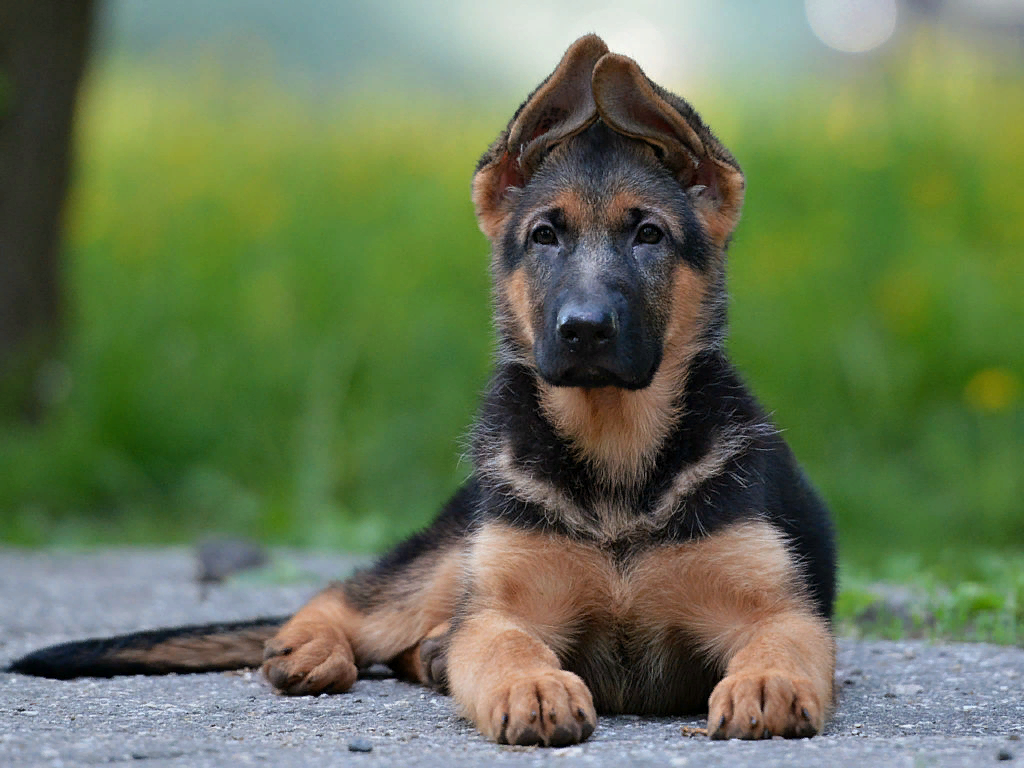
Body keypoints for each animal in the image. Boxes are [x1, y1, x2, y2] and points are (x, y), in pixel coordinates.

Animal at [9, 34, 839, 745]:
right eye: (545, 235)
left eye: (650, 235)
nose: (583, 330)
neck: (616, 457)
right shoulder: (502, 606)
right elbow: (505, 649)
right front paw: (534, 688)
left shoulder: (782, 609)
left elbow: (781, 643)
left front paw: (764, 682)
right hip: (453, 553)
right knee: (353, 596)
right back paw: (312, 646)